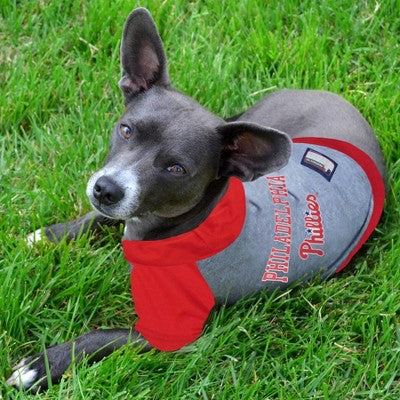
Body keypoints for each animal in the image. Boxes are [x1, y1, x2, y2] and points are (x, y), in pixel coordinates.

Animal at [6, 7, 386, 394]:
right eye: (126, 130)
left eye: (176, 168)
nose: (105, 189)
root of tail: (334, 96)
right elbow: (98, 217)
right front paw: (50, 236)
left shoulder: (161, 334)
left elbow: (101, 337)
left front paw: (42, 366)